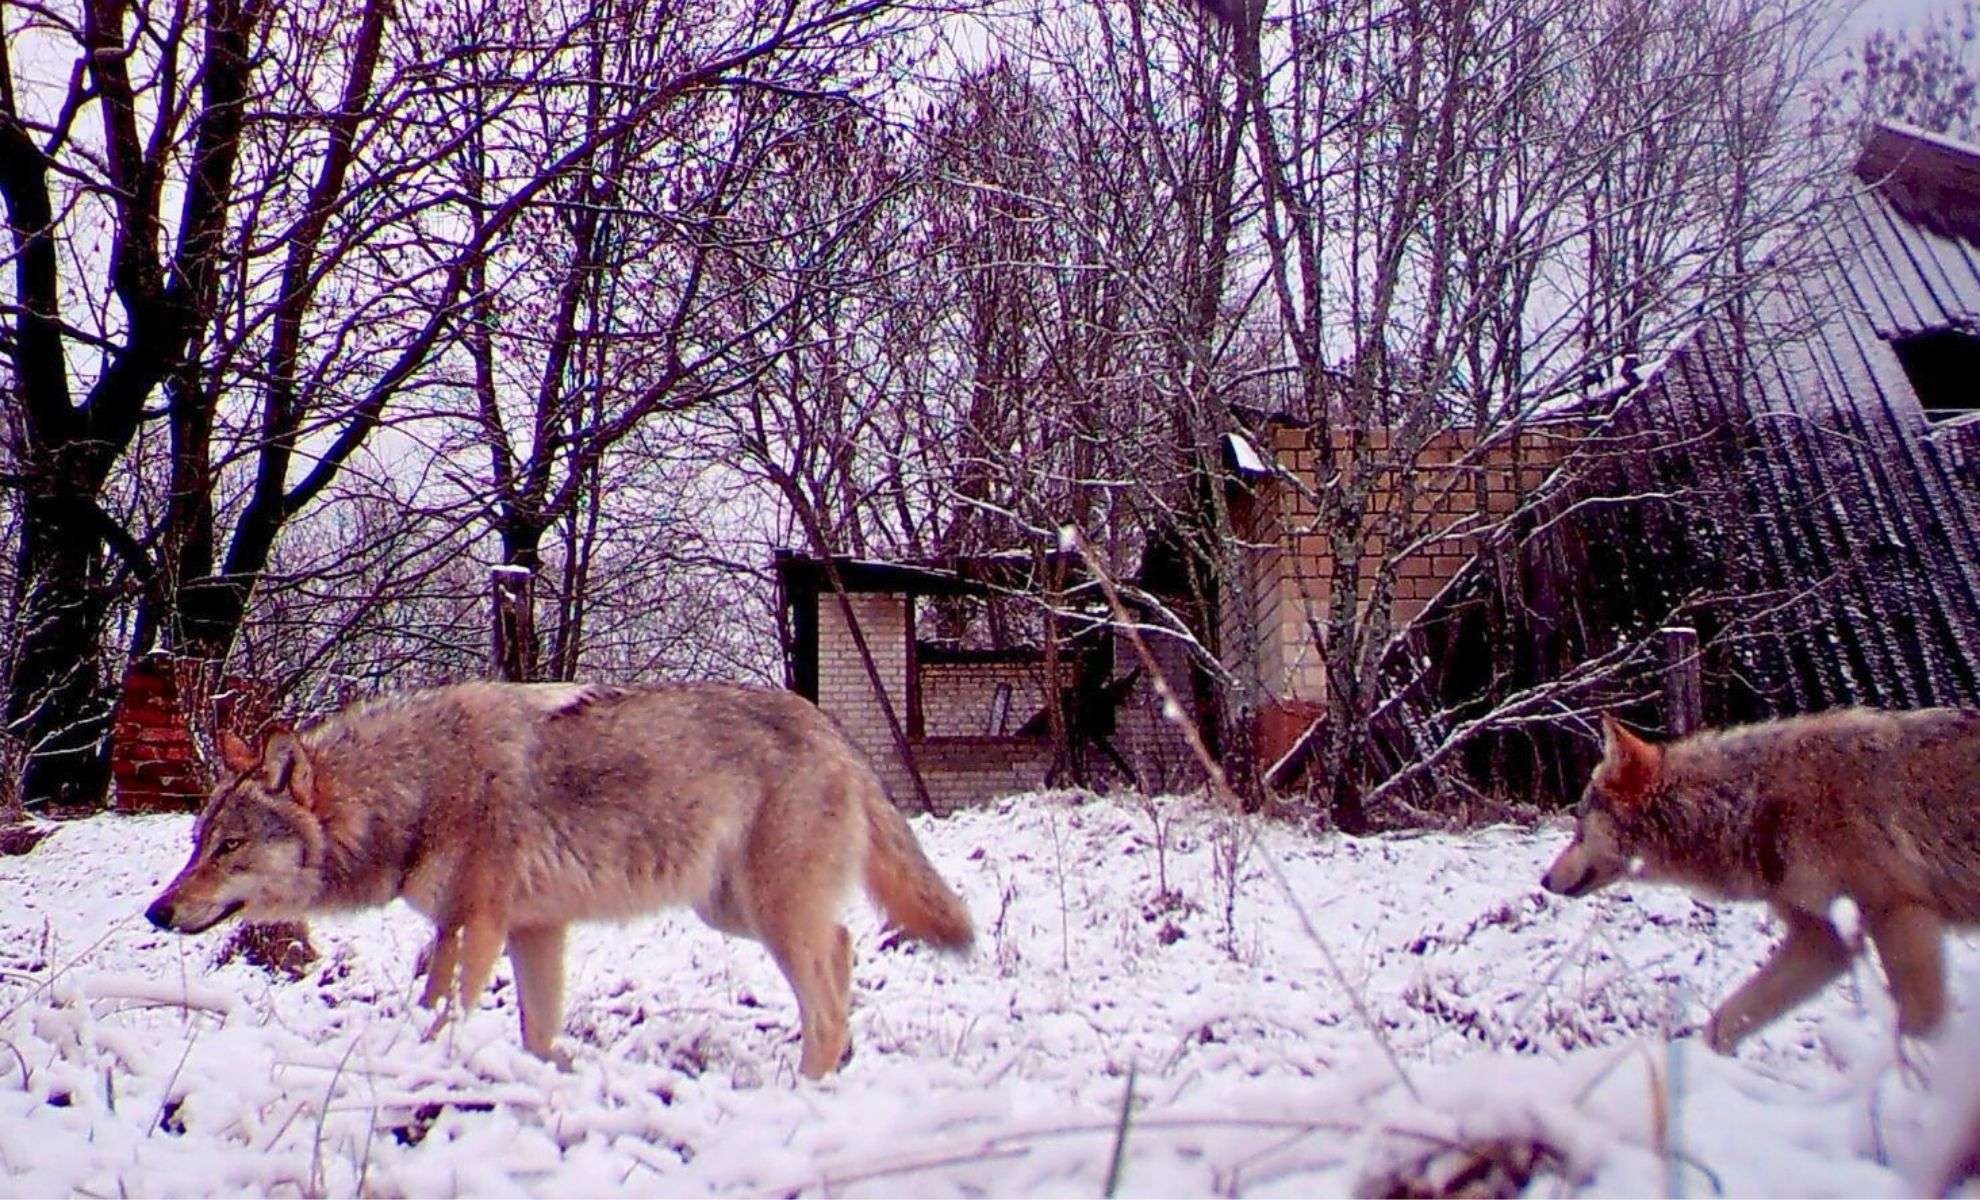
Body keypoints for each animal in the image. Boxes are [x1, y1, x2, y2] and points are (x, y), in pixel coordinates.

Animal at [145, 681, 974, 1079]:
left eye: (229, 847)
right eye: (196, 844)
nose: (157, 911)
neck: (416, 789)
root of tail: (834, 731)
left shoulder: (472, 927)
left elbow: (441, 1014)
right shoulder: (534, 930)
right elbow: (538, 1032)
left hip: (767, 915)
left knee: (826, 994)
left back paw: (805, 1091)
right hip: (734, 912)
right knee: (844, 947)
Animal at [1541, 708, 1980, 1053]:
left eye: (1578, 826)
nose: (1544, 880)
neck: (1751, 803)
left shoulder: (1901, 915)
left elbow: (1917, 1027)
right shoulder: (1823, 942)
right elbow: (1724, 1022)